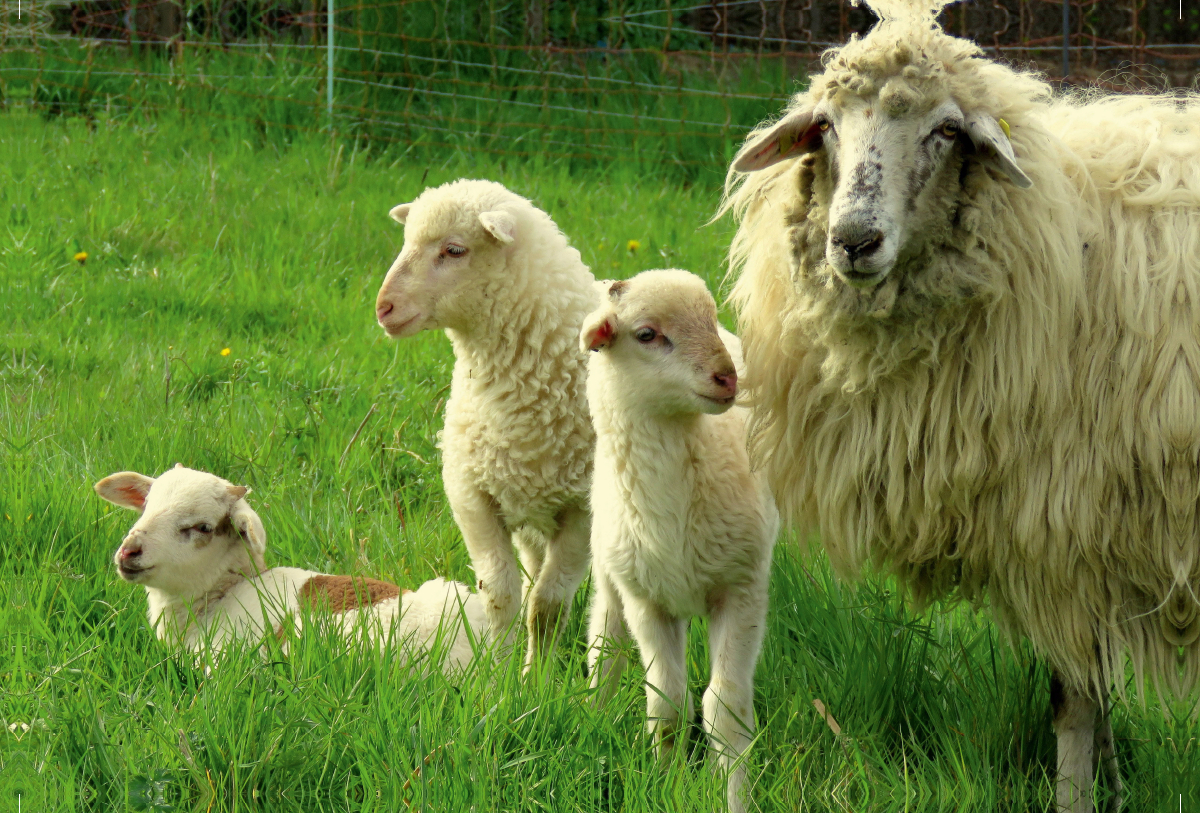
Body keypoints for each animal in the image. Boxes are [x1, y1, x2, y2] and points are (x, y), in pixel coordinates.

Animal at [372, 178, 597, 666]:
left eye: (454, 250)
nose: (384, 308)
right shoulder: (472, 496)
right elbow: (501, 596)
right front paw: (497, 672)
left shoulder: (583, 510)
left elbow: (548, 605)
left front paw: (537, 678)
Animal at [580, 272, 777, 813]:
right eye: (647, 334)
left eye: (710, 317)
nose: (727, 378)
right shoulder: (646, 601)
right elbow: (666, 703)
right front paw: (666, 784)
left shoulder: (741, 588)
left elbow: (724, 706)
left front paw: (732, 793)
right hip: (612, 571)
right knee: (606, 641)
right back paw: (595, 709)